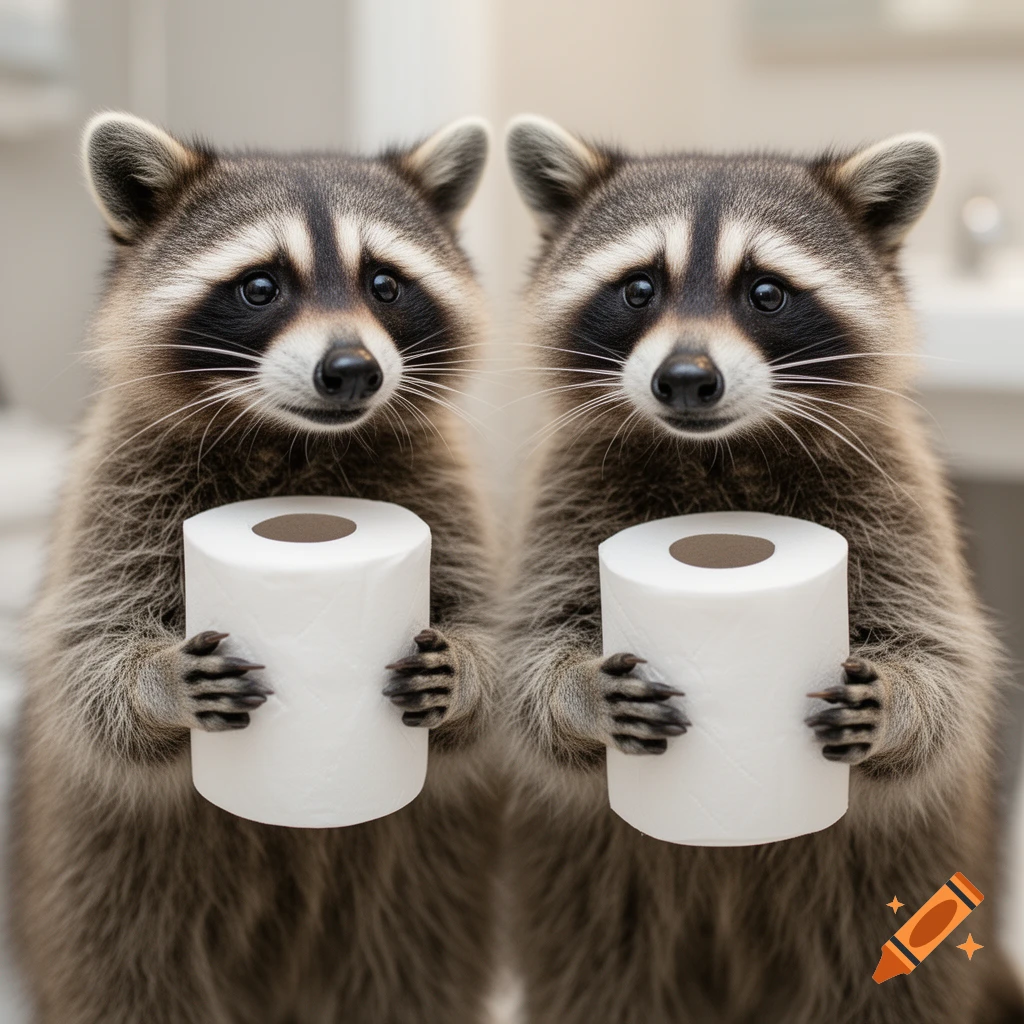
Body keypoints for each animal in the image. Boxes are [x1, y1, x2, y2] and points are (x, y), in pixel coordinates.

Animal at [11, 112, 500, 1024]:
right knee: (127, 979)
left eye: (385, 284)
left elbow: (488, 622)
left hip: (416, 886)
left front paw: (467, 671)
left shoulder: (440, 484)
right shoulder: (119, 481)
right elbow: (85, 657)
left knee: (407, 973)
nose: (352, 371)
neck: (298, 439)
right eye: (261, 287)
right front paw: (152, 681)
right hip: (101, 882)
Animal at [501, 116, 1024, 1024]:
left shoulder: (894, 487)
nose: (684, 379)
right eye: (640, 289)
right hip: (594, 903)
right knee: (599, 981)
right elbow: (531, 649)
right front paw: (576, 689)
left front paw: (901, 700)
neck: (719, 453)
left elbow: (945, 659)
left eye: (767, 293)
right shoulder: (568, 489)